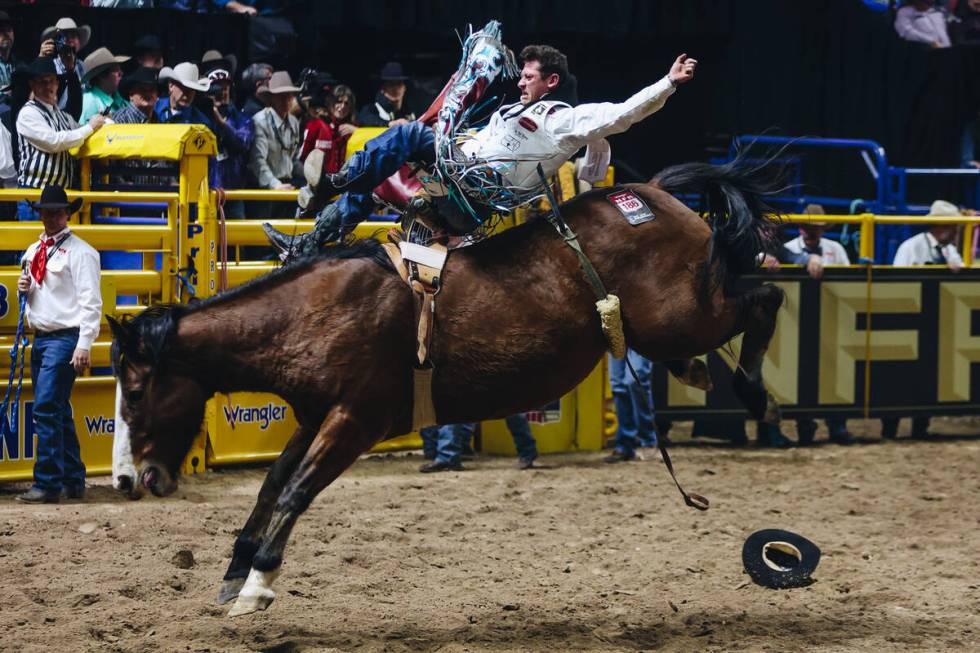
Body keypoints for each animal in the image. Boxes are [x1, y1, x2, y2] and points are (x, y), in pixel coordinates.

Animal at [107, 158, 780, 616]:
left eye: (135, 394)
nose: (143, 479)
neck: (311, 312)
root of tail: (656, 194)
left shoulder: (355, 420)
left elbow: (296, 490)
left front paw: (257, 584)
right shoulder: (315, 414)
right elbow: (273, 484)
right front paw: (233, 570)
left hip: (681, 313)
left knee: (764, 295)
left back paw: (754, 393)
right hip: (666, 322)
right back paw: (699, 373)